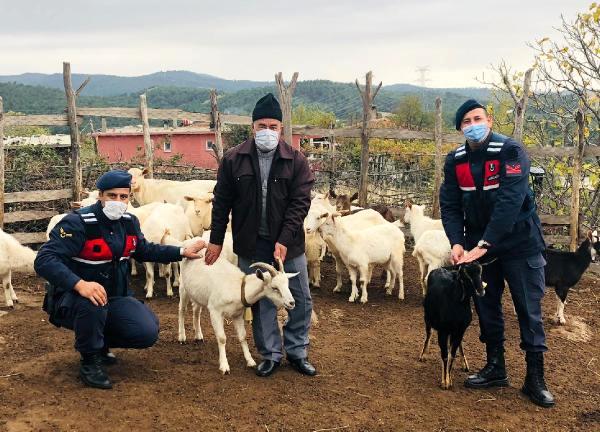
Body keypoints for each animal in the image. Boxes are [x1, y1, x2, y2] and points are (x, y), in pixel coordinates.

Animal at [179, 248, 296, 376]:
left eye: (288, 284)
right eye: (274, 288)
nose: (292, 303)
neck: (238, 288)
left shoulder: (237, 315)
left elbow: (242, 336)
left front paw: (250, 361)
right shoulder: (215, 311)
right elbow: (222, 338)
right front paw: (224, 366)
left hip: (198, 294)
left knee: (196, 310)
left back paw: (198, 335)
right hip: (183, 288)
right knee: (182, 310)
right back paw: (182, 337)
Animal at [420, 262, 486, 390]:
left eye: (481, 272)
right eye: (465, 275)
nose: (480, 291)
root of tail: (440, 268)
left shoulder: (460, 330)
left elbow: (452, 354)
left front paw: (449, 379)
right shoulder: (443, 331)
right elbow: (445, 355)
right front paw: (444, 382)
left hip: (456, 331)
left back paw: (464, 364)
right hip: (428, 318)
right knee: (428, 335)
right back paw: (423, 355)